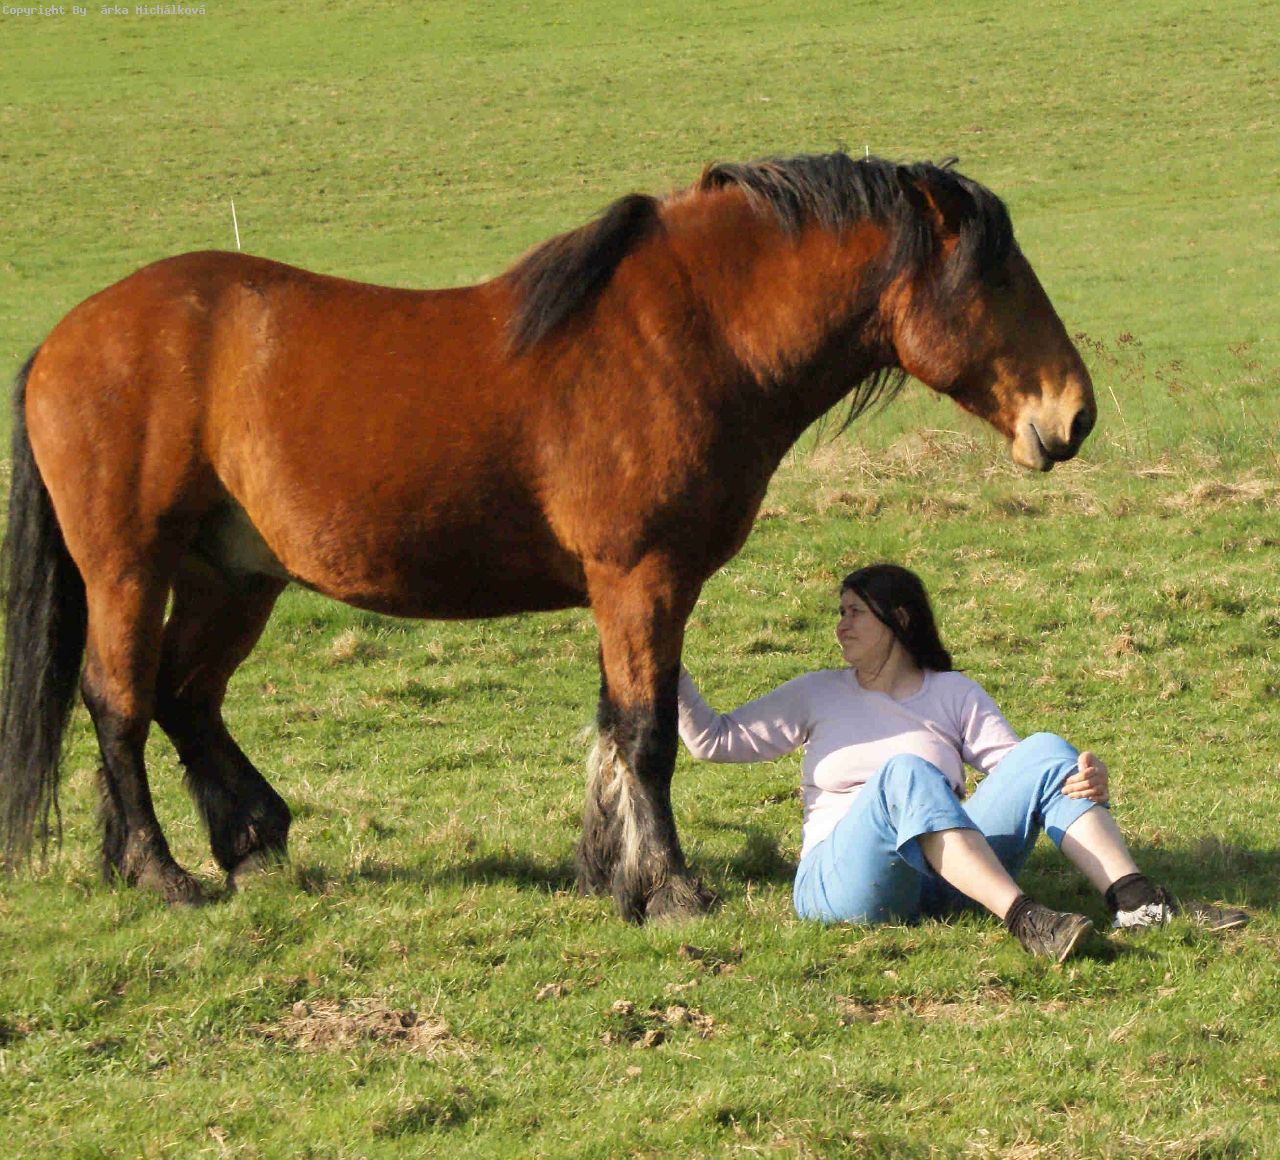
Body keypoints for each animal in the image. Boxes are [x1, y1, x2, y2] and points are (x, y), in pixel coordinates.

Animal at [0, 153, 1095, 923]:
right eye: (996, 280)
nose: (1072, 413)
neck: (691, 335)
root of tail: (64, 338)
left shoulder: (627, 589)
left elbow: (615, 725)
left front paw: (611, 875)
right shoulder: (640, 578)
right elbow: (644, 734)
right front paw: (669, 888)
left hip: (232, 575)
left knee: (186, 696)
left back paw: (252, 838)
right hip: (130, 568)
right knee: (120, 702)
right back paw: (158, 870)